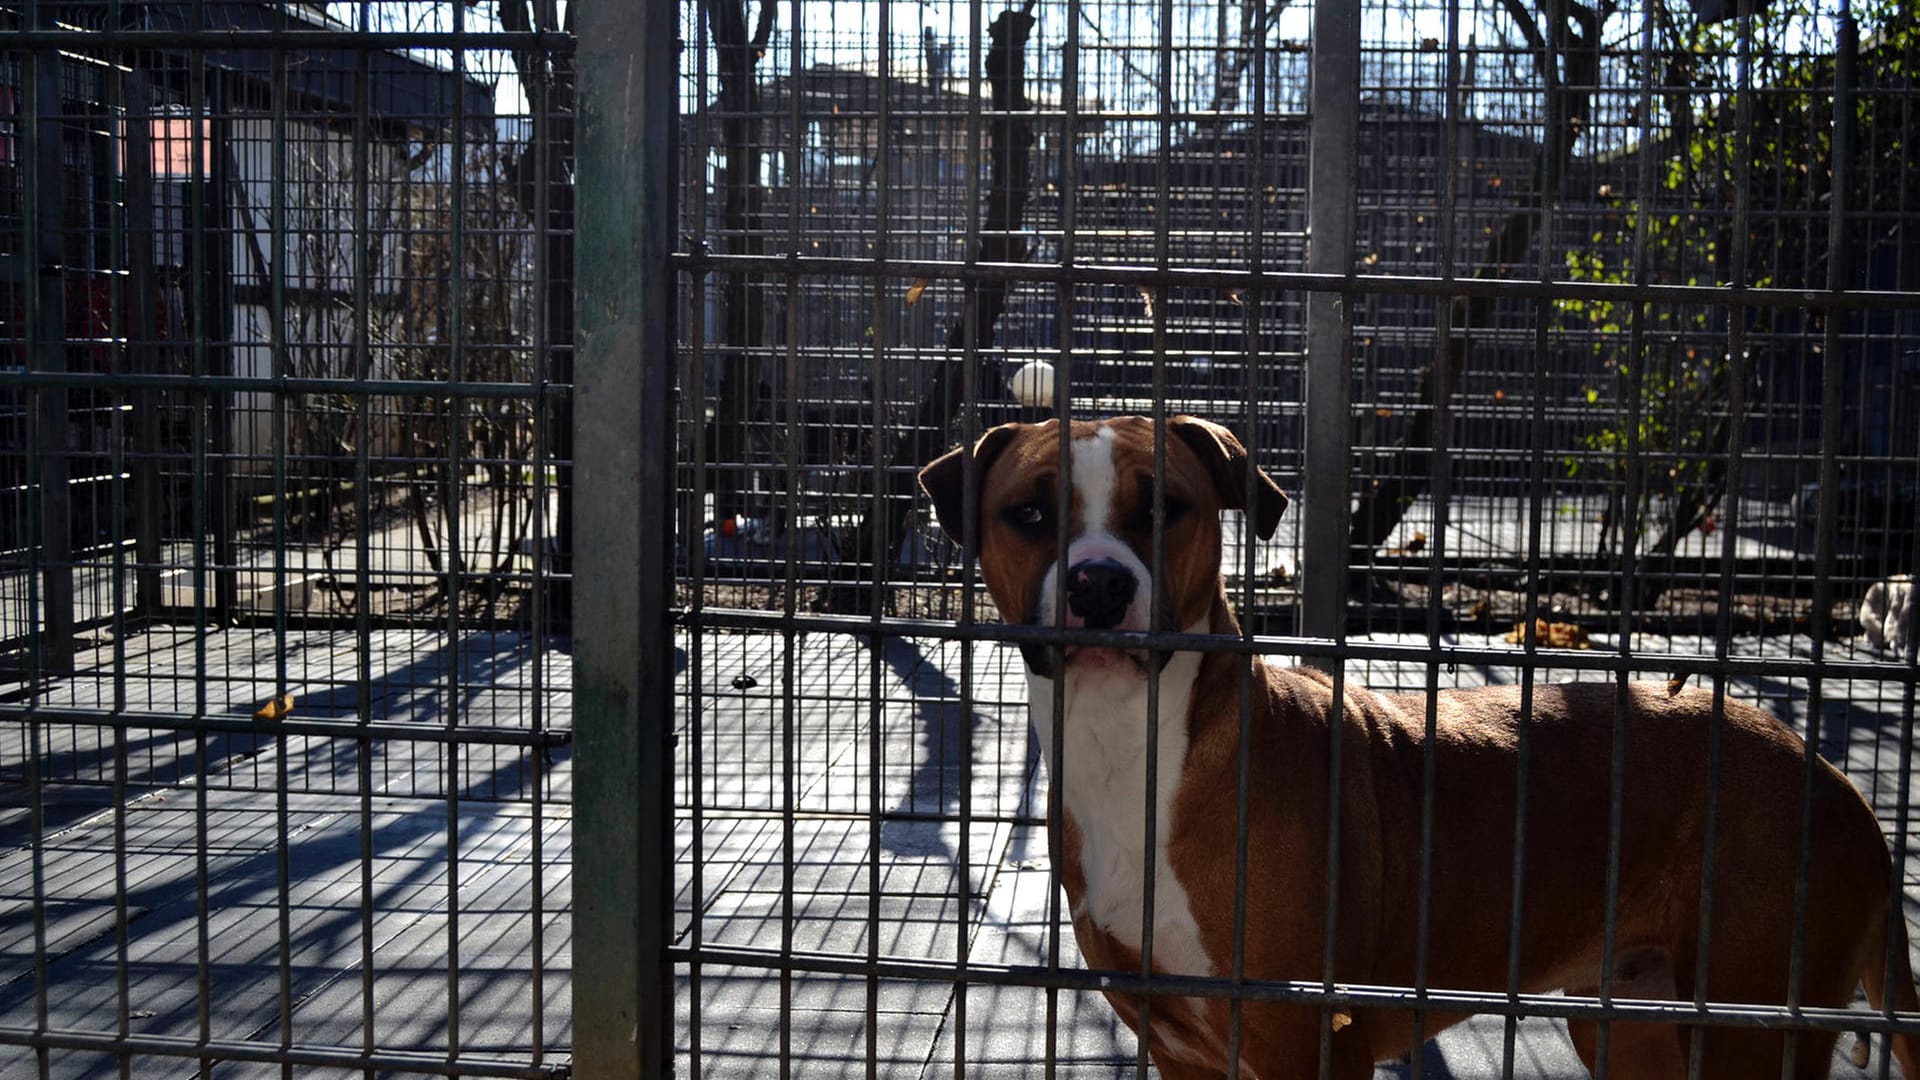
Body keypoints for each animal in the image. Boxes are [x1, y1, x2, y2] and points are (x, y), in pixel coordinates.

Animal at [921, 413, 1912, 1076]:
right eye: (1030, 514)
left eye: (1165, 506)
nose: (1097, 585)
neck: (1135, 745)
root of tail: (1835, 779)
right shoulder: (1182, 1049)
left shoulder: (1307, 1044)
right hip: (1631, 1023)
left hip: (1746, 1027)